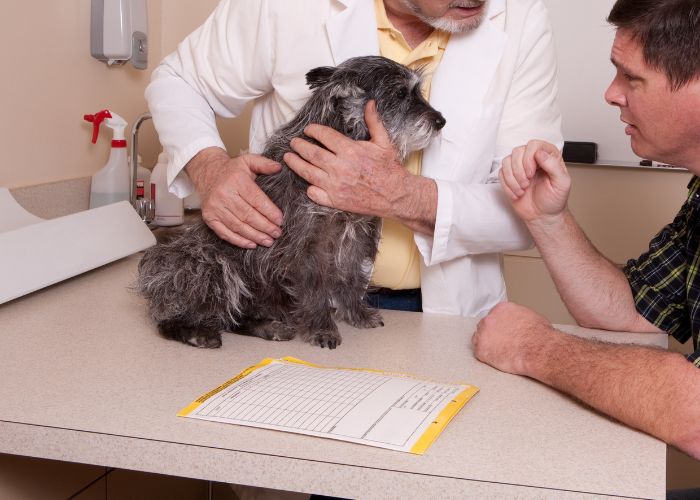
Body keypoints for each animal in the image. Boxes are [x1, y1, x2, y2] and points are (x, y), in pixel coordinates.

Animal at [135, 55, 446, 348]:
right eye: (400, 94)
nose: (441, 121)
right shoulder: (308, 245)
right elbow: (316, 289)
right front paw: (322, 329)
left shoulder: (355, 238)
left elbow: (350, 278)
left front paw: (356, 314)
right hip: (211, 265)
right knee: (174, 320)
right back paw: (196, 333)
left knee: (235, 318)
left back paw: (268, 327)